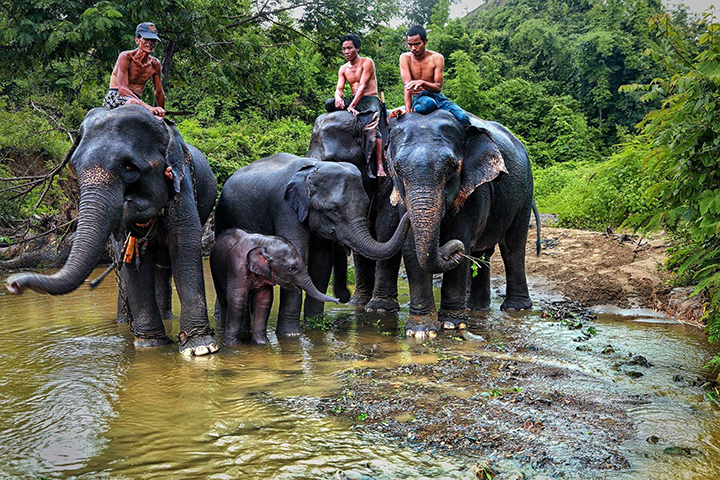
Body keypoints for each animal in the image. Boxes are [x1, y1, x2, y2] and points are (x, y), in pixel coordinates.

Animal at [4, 106, 219, 356]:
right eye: (74, 168)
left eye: (129, 167)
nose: (12, 284)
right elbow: (132, 263)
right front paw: (149, 345)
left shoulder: (182, 187)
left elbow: (185, 248)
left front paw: (200, 348)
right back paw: (126, 324)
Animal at [211, 229, 340, 344]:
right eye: (291, 269)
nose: (338, 300)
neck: (264, 243)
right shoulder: (237, 267)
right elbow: (236, 299)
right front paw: (232, 345)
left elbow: (264, 300)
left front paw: (262, 343)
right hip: (216, 271)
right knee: (224, 299)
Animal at [306, 107, 404, 314]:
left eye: (336, 162)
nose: (343, 297)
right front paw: (358, 303)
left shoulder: (390, 174)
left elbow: (387, 225)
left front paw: (380, 309)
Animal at [386, 111, 536, 338]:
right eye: (397, 169)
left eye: (451, 167)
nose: (452, 251)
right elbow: (411, 248)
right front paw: (420, 331)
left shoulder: (475, 189)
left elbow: (461, 236)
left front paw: (452, 325)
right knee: (483, 254)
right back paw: (477, 308)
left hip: (525, 191)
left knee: (513, 248)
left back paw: (515, 308)